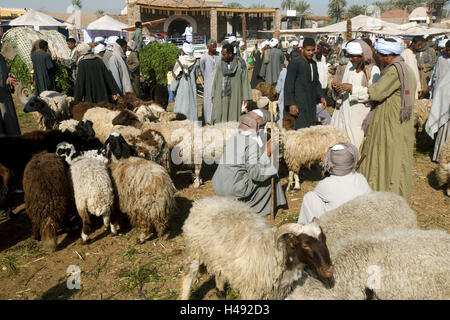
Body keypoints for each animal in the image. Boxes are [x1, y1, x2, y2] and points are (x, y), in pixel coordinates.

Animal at [180, 196, 334, 302]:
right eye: (305, 245)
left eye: (324, 239)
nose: (329, 270)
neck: (276, 255)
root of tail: (204, 200)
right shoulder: (251, 292)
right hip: (194, 249)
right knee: (188, 276)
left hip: (220, 257)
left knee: (219, 272)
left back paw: (221, 291)